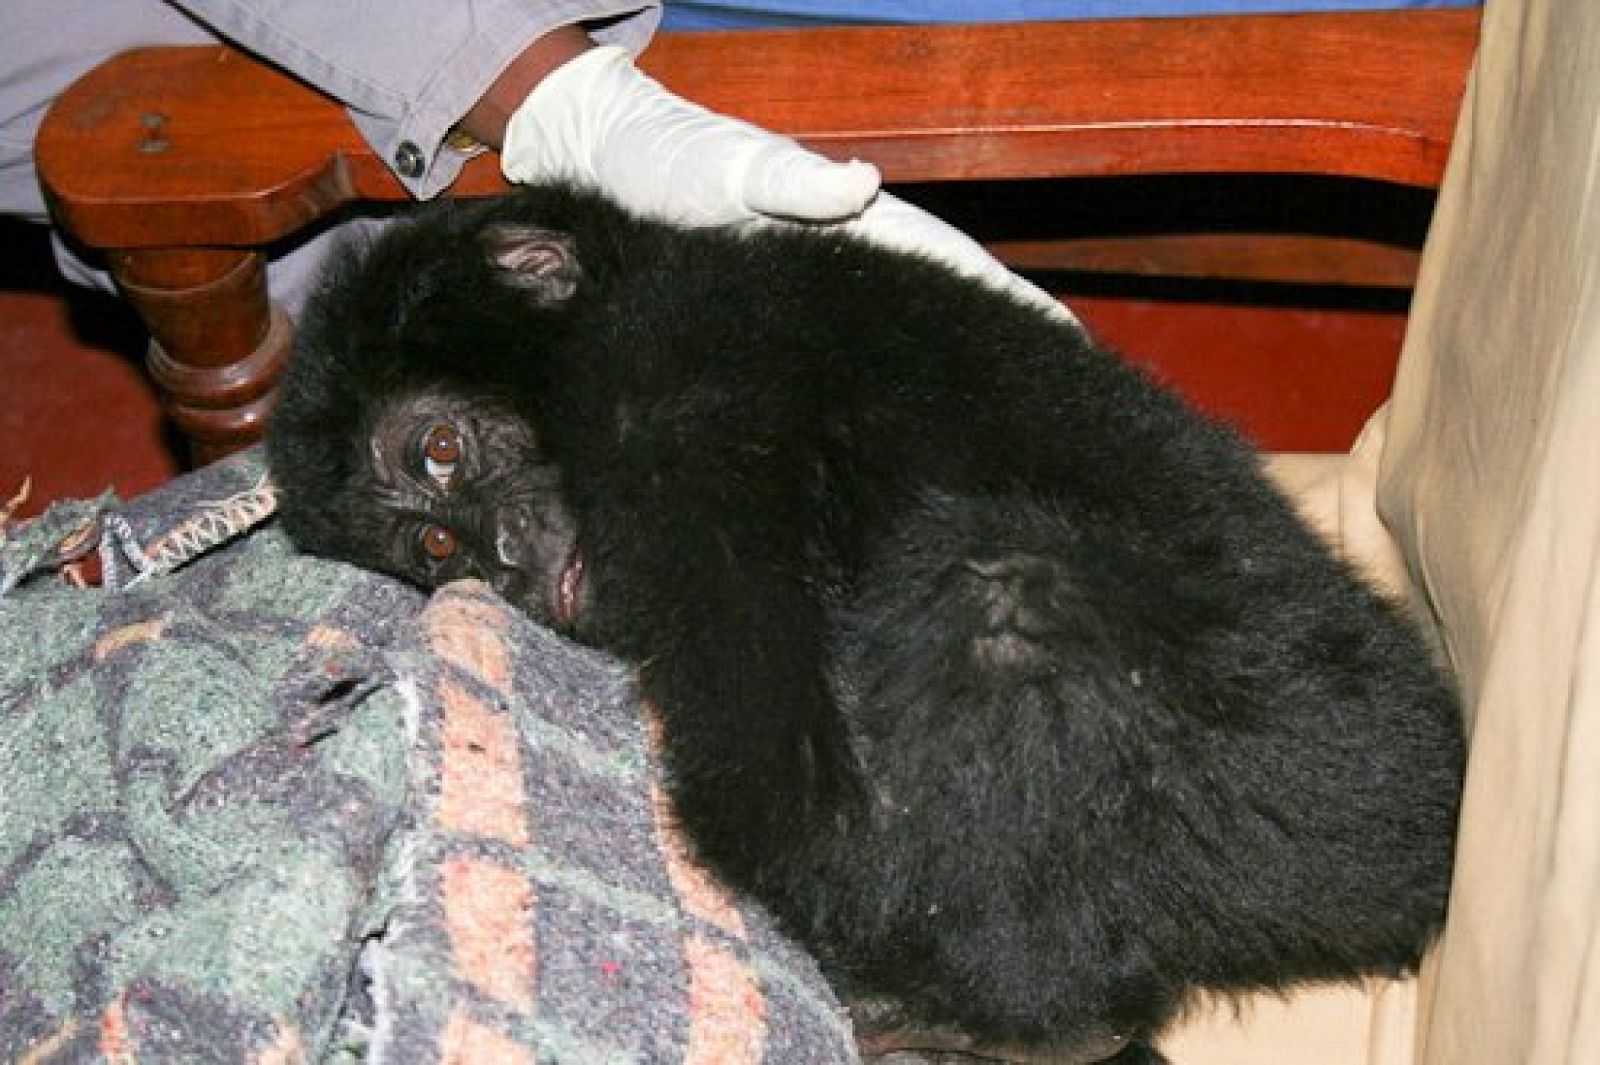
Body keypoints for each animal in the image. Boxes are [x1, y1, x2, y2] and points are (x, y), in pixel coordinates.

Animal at [266, 184, 1463, 1064]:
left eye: (440, 451)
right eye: (435, 551)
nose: (501, 559)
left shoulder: (674, 402)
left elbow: (793, 797)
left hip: (1316, 776)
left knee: (998, 600)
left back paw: (1035, 1019)